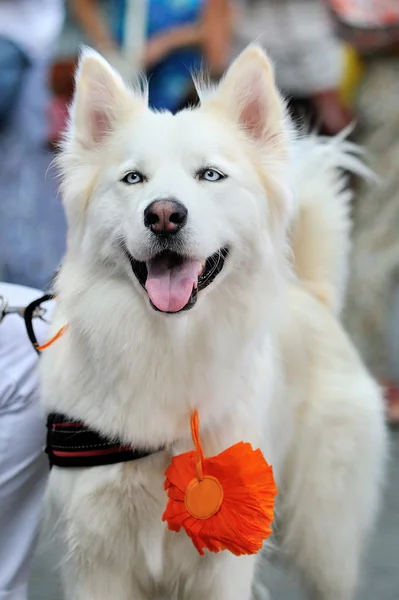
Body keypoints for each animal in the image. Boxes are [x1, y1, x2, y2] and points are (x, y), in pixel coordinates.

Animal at [41, 47, 388, 600]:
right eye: (133, 179)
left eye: (209, 175)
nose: (163, 215)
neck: (169, 346)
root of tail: (315, 295)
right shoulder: (96, 558)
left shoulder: (224, 564)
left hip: (324, 540)